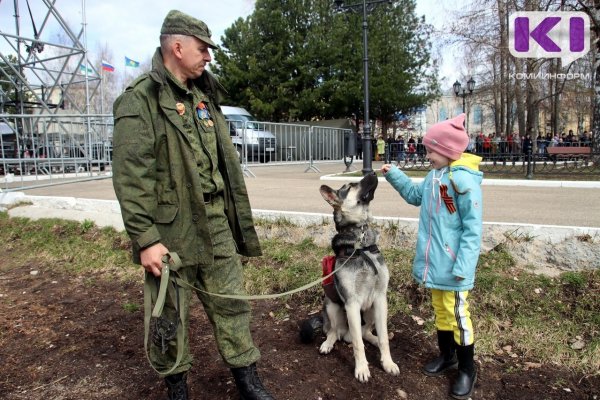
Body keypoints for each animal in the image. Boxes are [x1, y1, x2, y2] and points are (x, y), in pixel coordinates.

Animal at [310, 173, 398, 382]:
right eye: (351, 185)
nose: (373, 173)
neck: (361, 243)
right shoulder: (351, 303)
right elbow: (358, 344)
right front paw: (362, 369)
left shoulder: (380, 299)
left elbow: (383, 338)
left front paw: (387, 362)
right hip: (332, 306)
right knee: (335, 332)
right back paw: (328, 343)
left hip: (371, 310)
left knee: (366, 333)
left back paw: (373, 339)